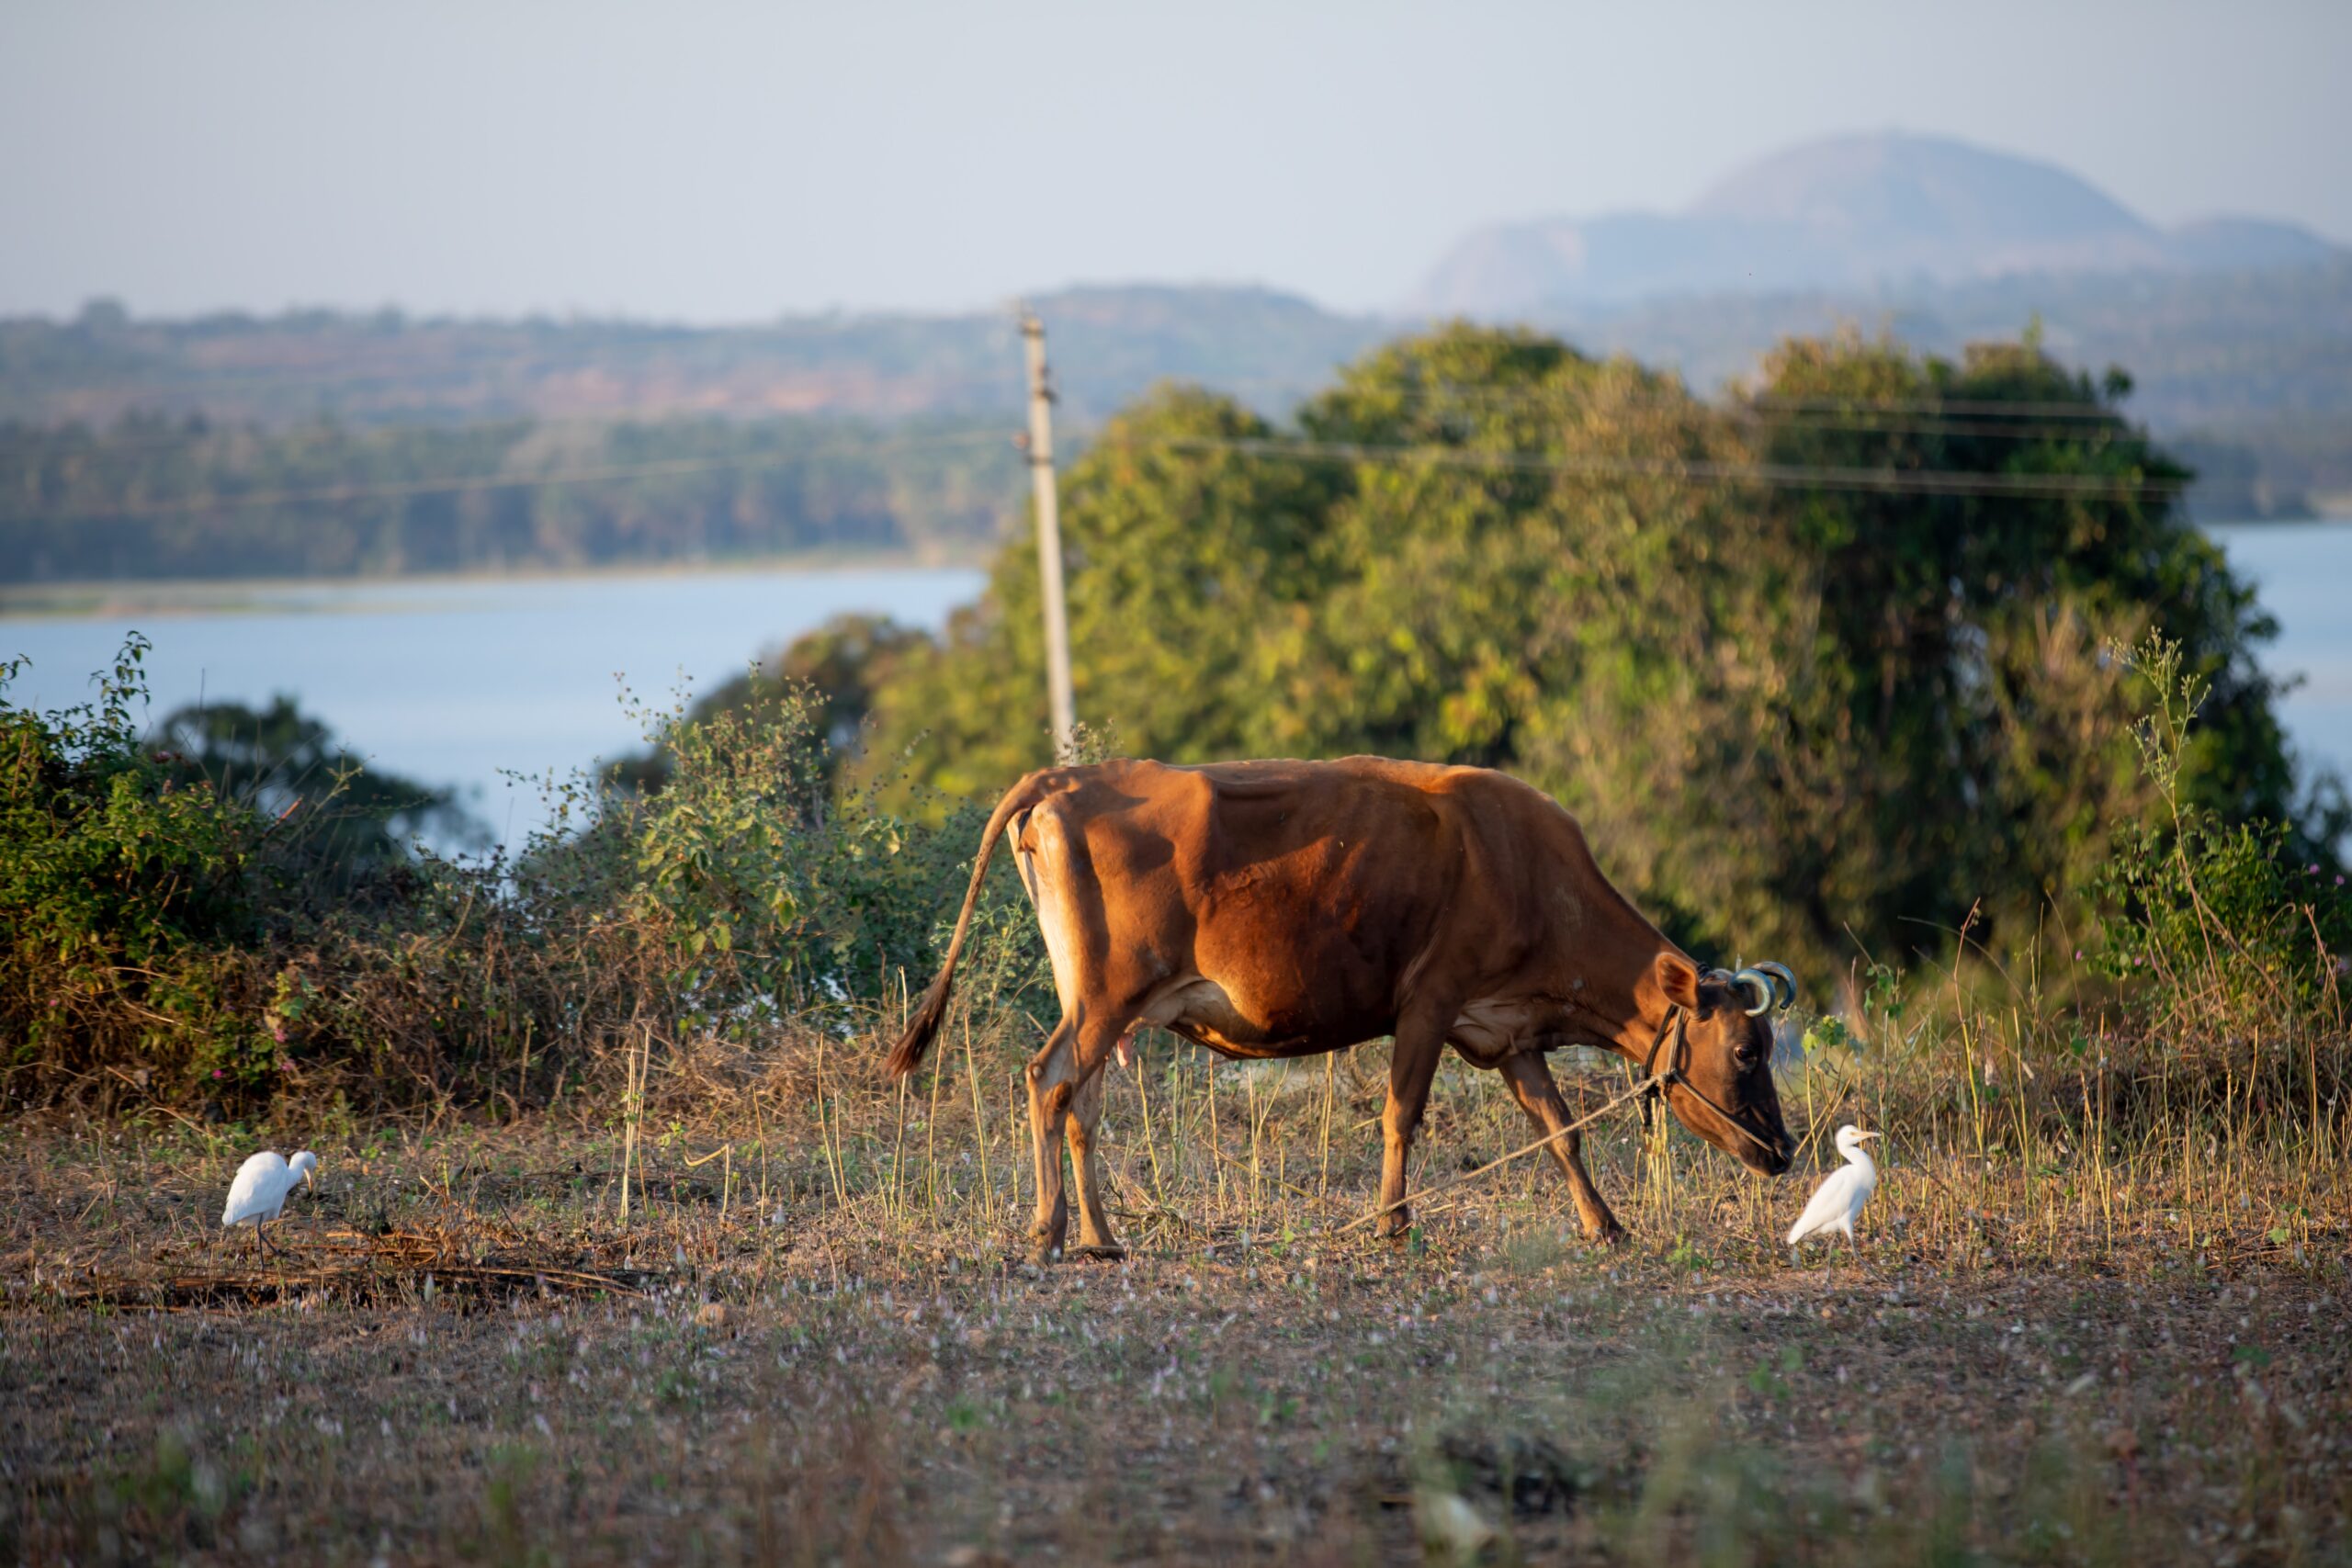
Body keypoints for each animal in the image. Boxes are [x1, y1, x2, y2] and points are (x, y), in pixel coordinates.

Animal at [884, 757, 1796, 1259]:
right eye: (1747, 1050)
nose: (1784, 1150)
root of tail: (1073, 775)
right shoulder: (1431, 997)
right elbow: (1401, 1114)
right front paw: (1392, 1222)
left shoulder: (1506, 1031)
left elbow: (1559, 1127)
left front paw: (1604, 1224)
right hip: (1108, 992)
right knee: (1048, 1078)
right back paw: (1048, 1229)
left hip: (1105, 1000)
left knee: (1082, 1102)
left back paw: (1100, 1236)